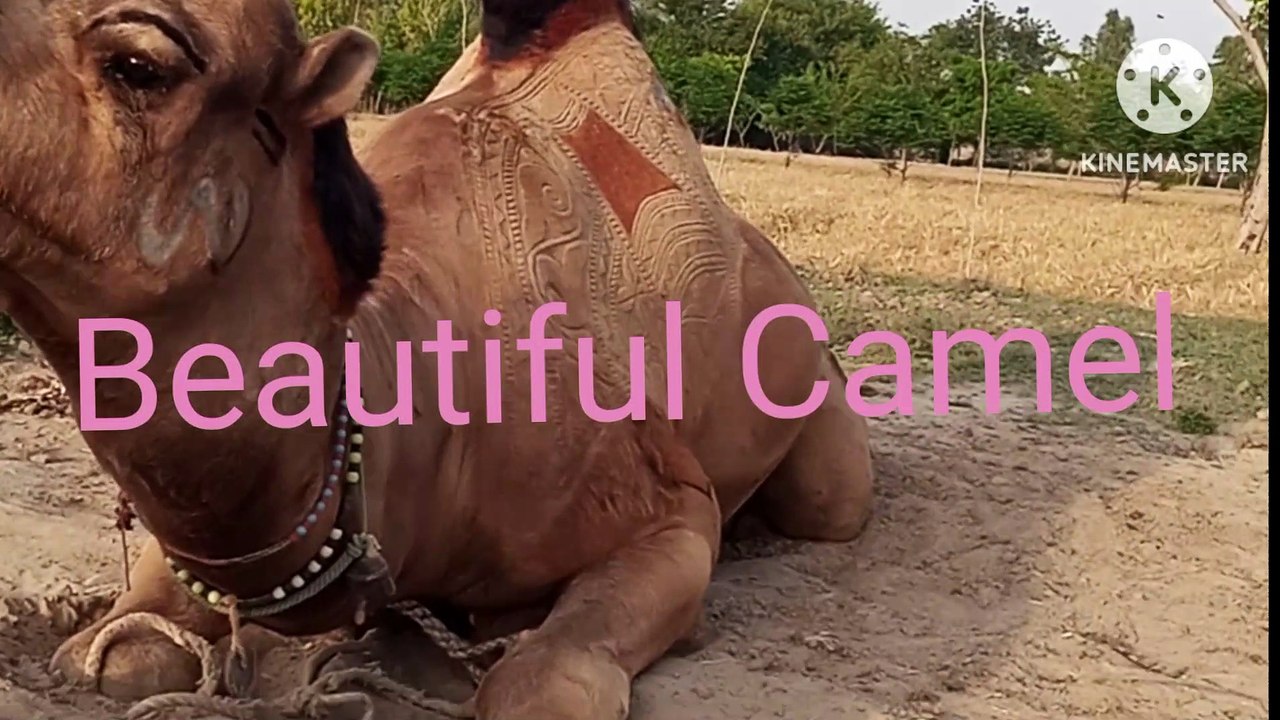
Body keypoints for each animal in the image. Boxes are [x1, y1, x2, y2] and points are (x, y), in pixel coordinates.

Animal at [0, 0, 875, 716]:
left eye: (139, 64)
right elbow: (109, 652)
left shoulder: (666, 501)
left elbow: (540, 688)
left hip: (826, 449)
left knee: (830, 501)